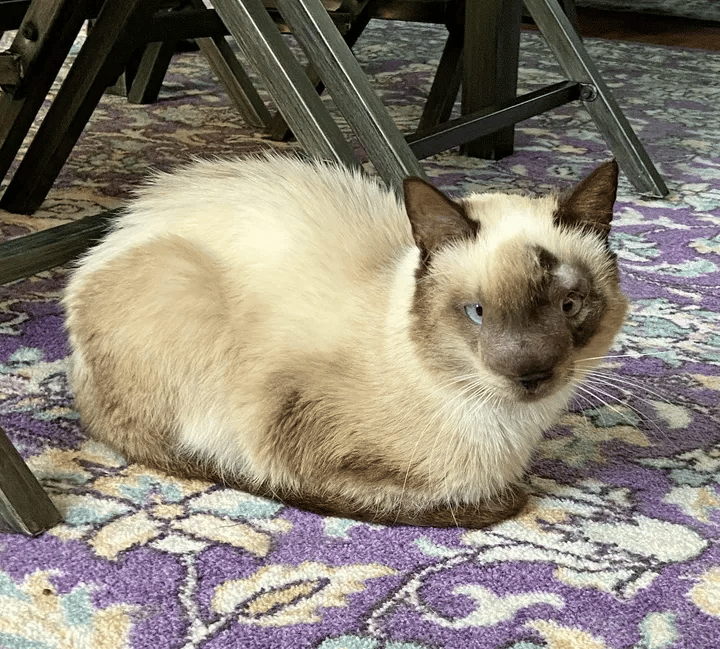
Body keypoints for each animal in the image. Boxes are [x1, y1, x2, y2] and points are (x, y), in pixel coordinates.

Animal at [62, 154, 628, 528]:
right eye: (478, 312)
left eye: (569, 306)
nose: (531, 374)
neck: (509, 430)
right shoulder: (289, 446)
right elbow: (474, 499)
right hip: (183, 281)